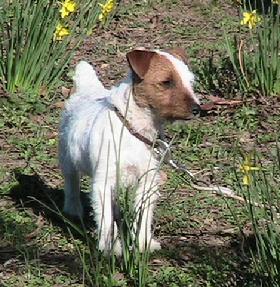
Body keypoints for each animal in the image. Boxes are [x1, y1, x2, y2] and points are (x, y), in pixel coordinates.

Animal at [59, 48, 200, 255]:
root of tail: (86, 91)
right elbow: (106, 220)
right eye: (167, 82)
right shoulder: (103, 182)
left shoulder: (148, 182)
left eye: (190, 82)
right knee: (71, 183)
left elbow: (143, 216)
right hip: (67, 158)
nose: (198, 109)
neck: (133, 129)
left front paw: (143, 243)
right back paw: (73, 209)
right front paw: (110, 248)